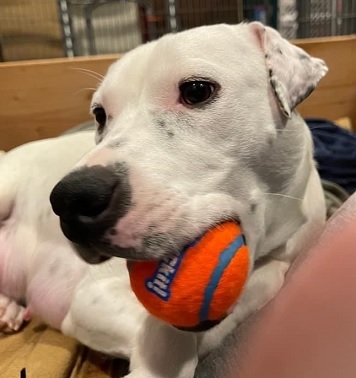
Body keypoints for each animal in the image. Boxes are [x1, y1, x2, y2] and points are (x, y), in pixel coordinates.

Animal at [0, 23, 328, 378]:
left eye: (197, 91)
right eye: (100, 115)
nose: (72, 200)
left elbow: (267, 280)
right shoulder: (91, 297)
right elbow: (166, 337)